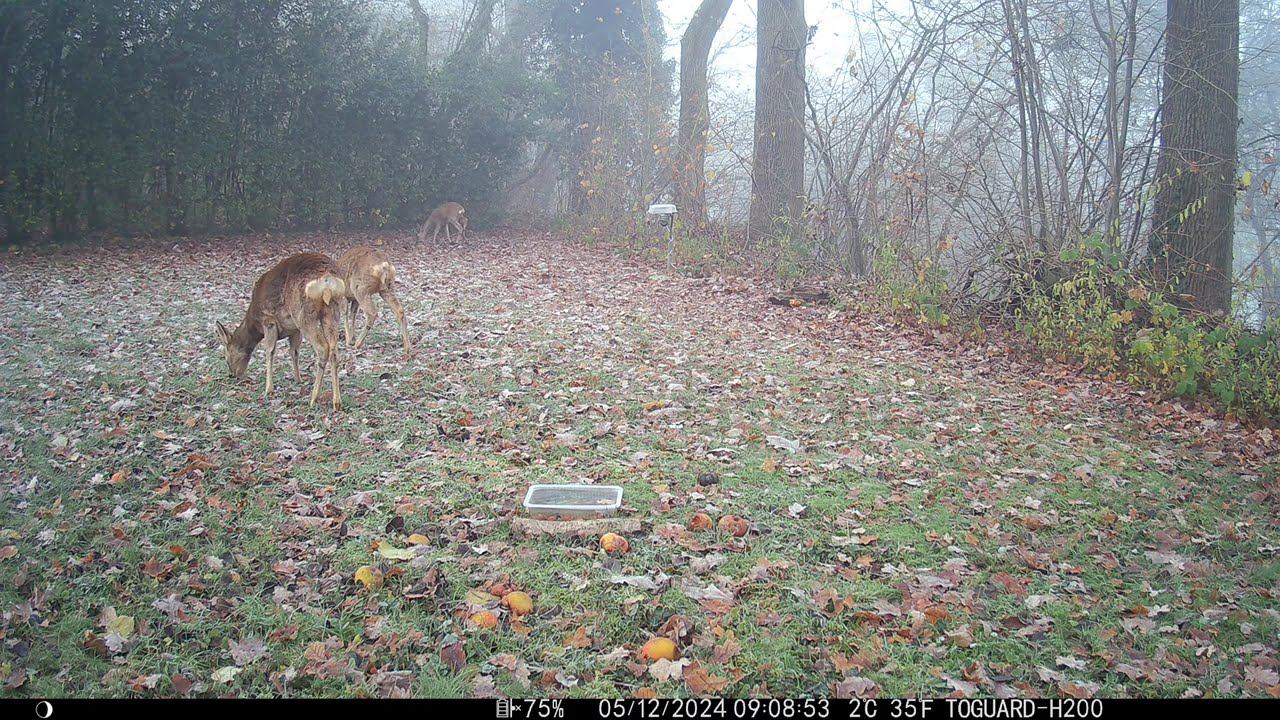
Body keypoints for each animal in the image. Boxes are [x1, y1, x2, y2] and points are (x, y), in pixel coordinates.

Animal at [216, 252, 345, 409]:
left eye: (226, 357)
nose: (233, 375)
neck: (255, 322)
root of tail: (327, 282)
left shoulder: (269, 320)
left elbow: (270, 351)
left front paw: (268, 389)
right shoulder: (294, 330)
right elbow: (294, 352)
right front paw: (298, 379)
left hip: (304, 315)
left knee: (322, 348)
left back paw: (314, 398)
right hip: (332, 311)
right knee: (334, 351)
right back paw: (337, 402)